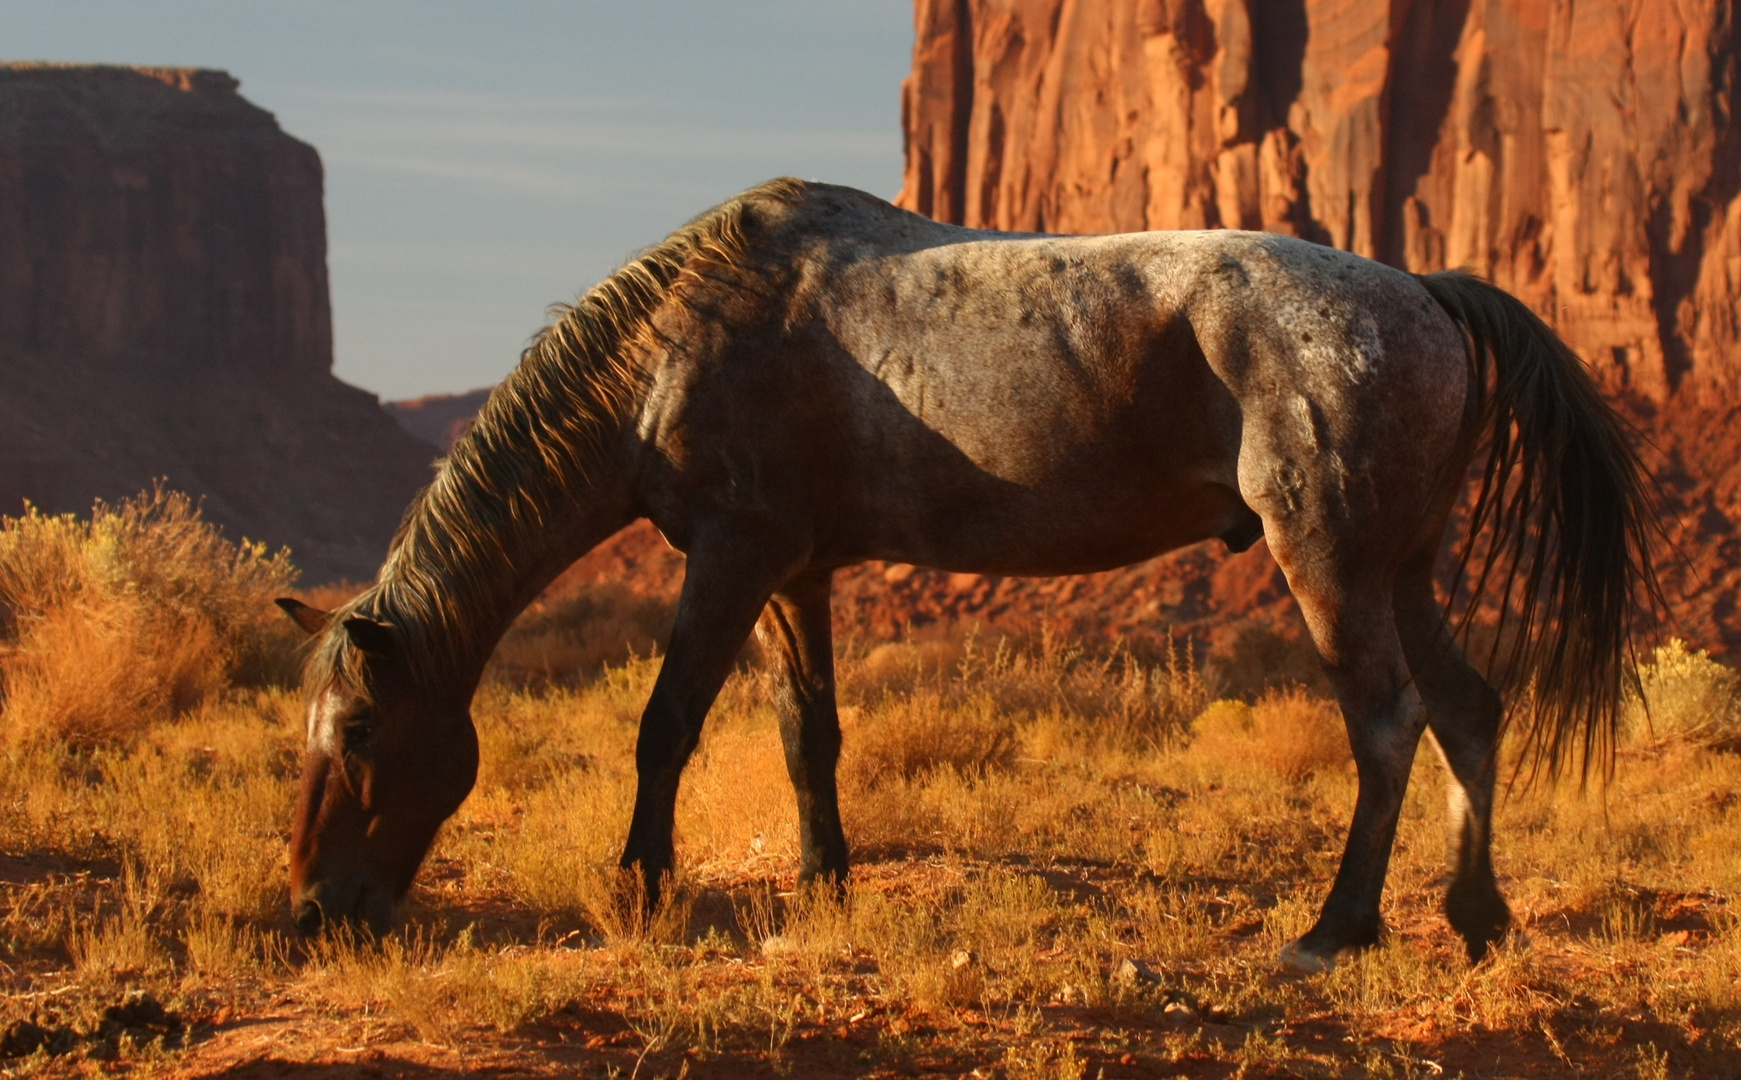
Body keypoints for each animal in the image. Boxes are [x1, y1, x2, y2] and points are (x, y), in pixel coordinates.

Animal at [278, 176, 1650, 968]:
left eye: (361, 733)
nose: (309, 912)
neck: (674, 343)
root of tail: (1420, 290)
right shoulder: (798, 576)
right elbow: (807, 734)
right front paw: (825, 881)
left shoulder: (731, 557)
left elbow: (665, 724)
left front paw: (642, 885)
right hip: (1403, 568)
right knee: (1469, 711)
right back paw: (1476, 923)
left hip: (1330, 562)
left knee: (1387, 724)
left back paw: (1336, 932)